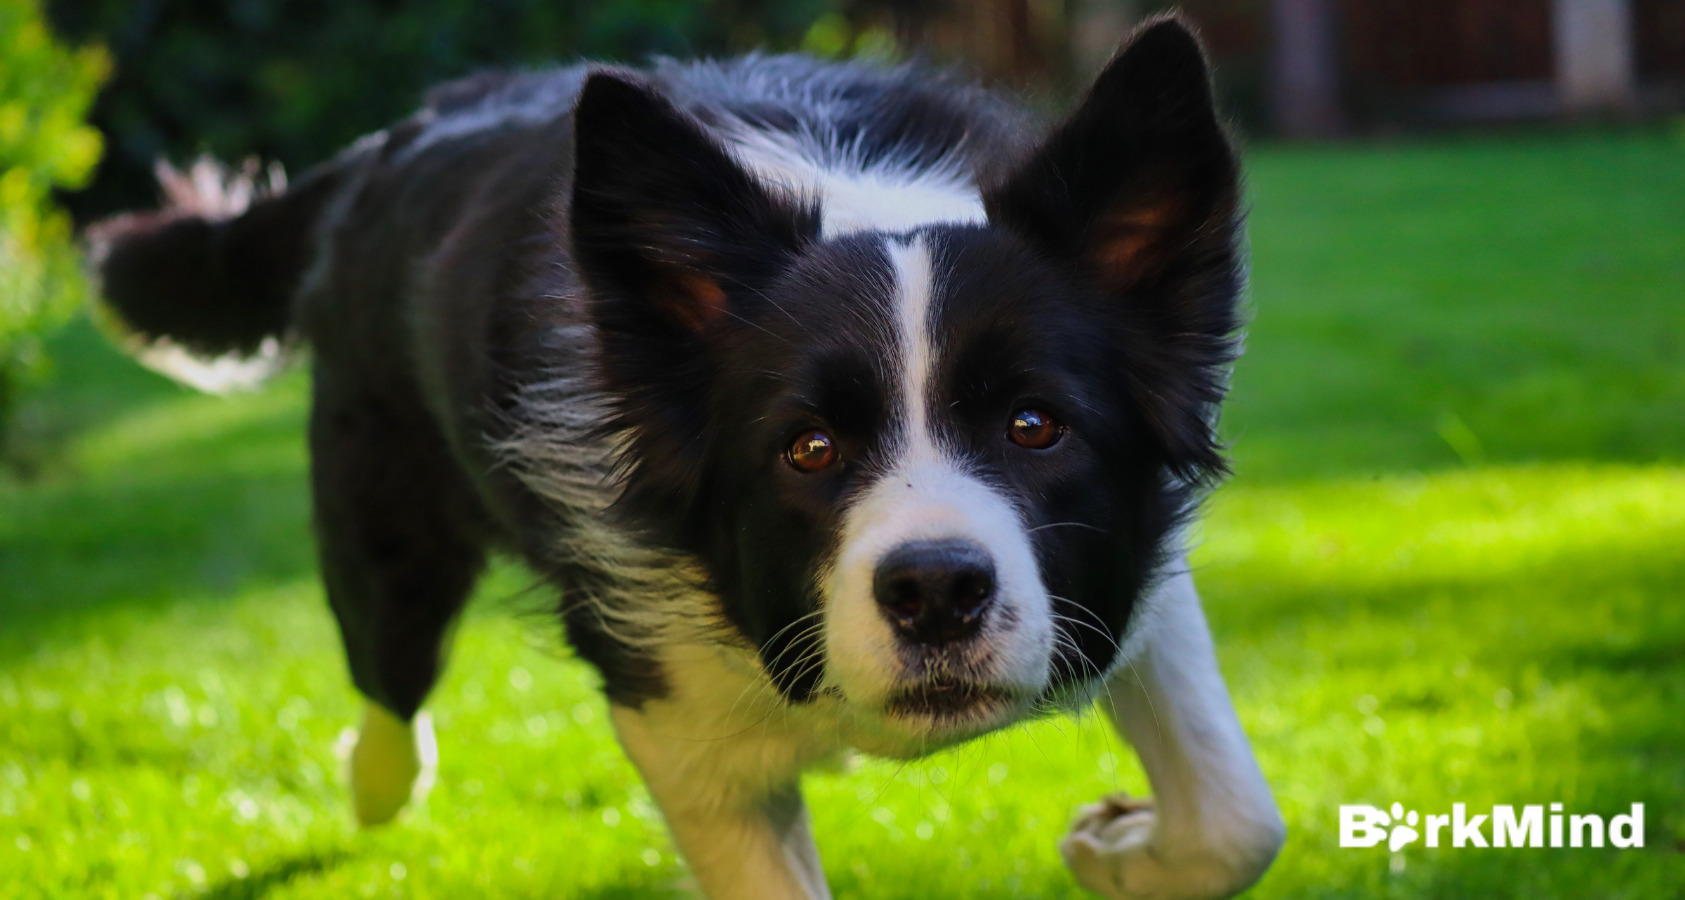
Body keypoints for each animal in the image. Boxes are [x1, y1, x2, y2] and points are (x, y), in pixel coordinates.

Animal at [88, 15, 1273, 900]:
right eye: (807, 449)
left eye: (1035, 426)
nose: (936, 592)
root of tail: (395, 139)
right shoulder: (671, 716)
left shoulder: (1124, 572)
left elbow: (1236, 820)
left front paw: (1119, 850)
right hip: (383, 532)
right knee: (389, 681)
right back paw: (377, 782)